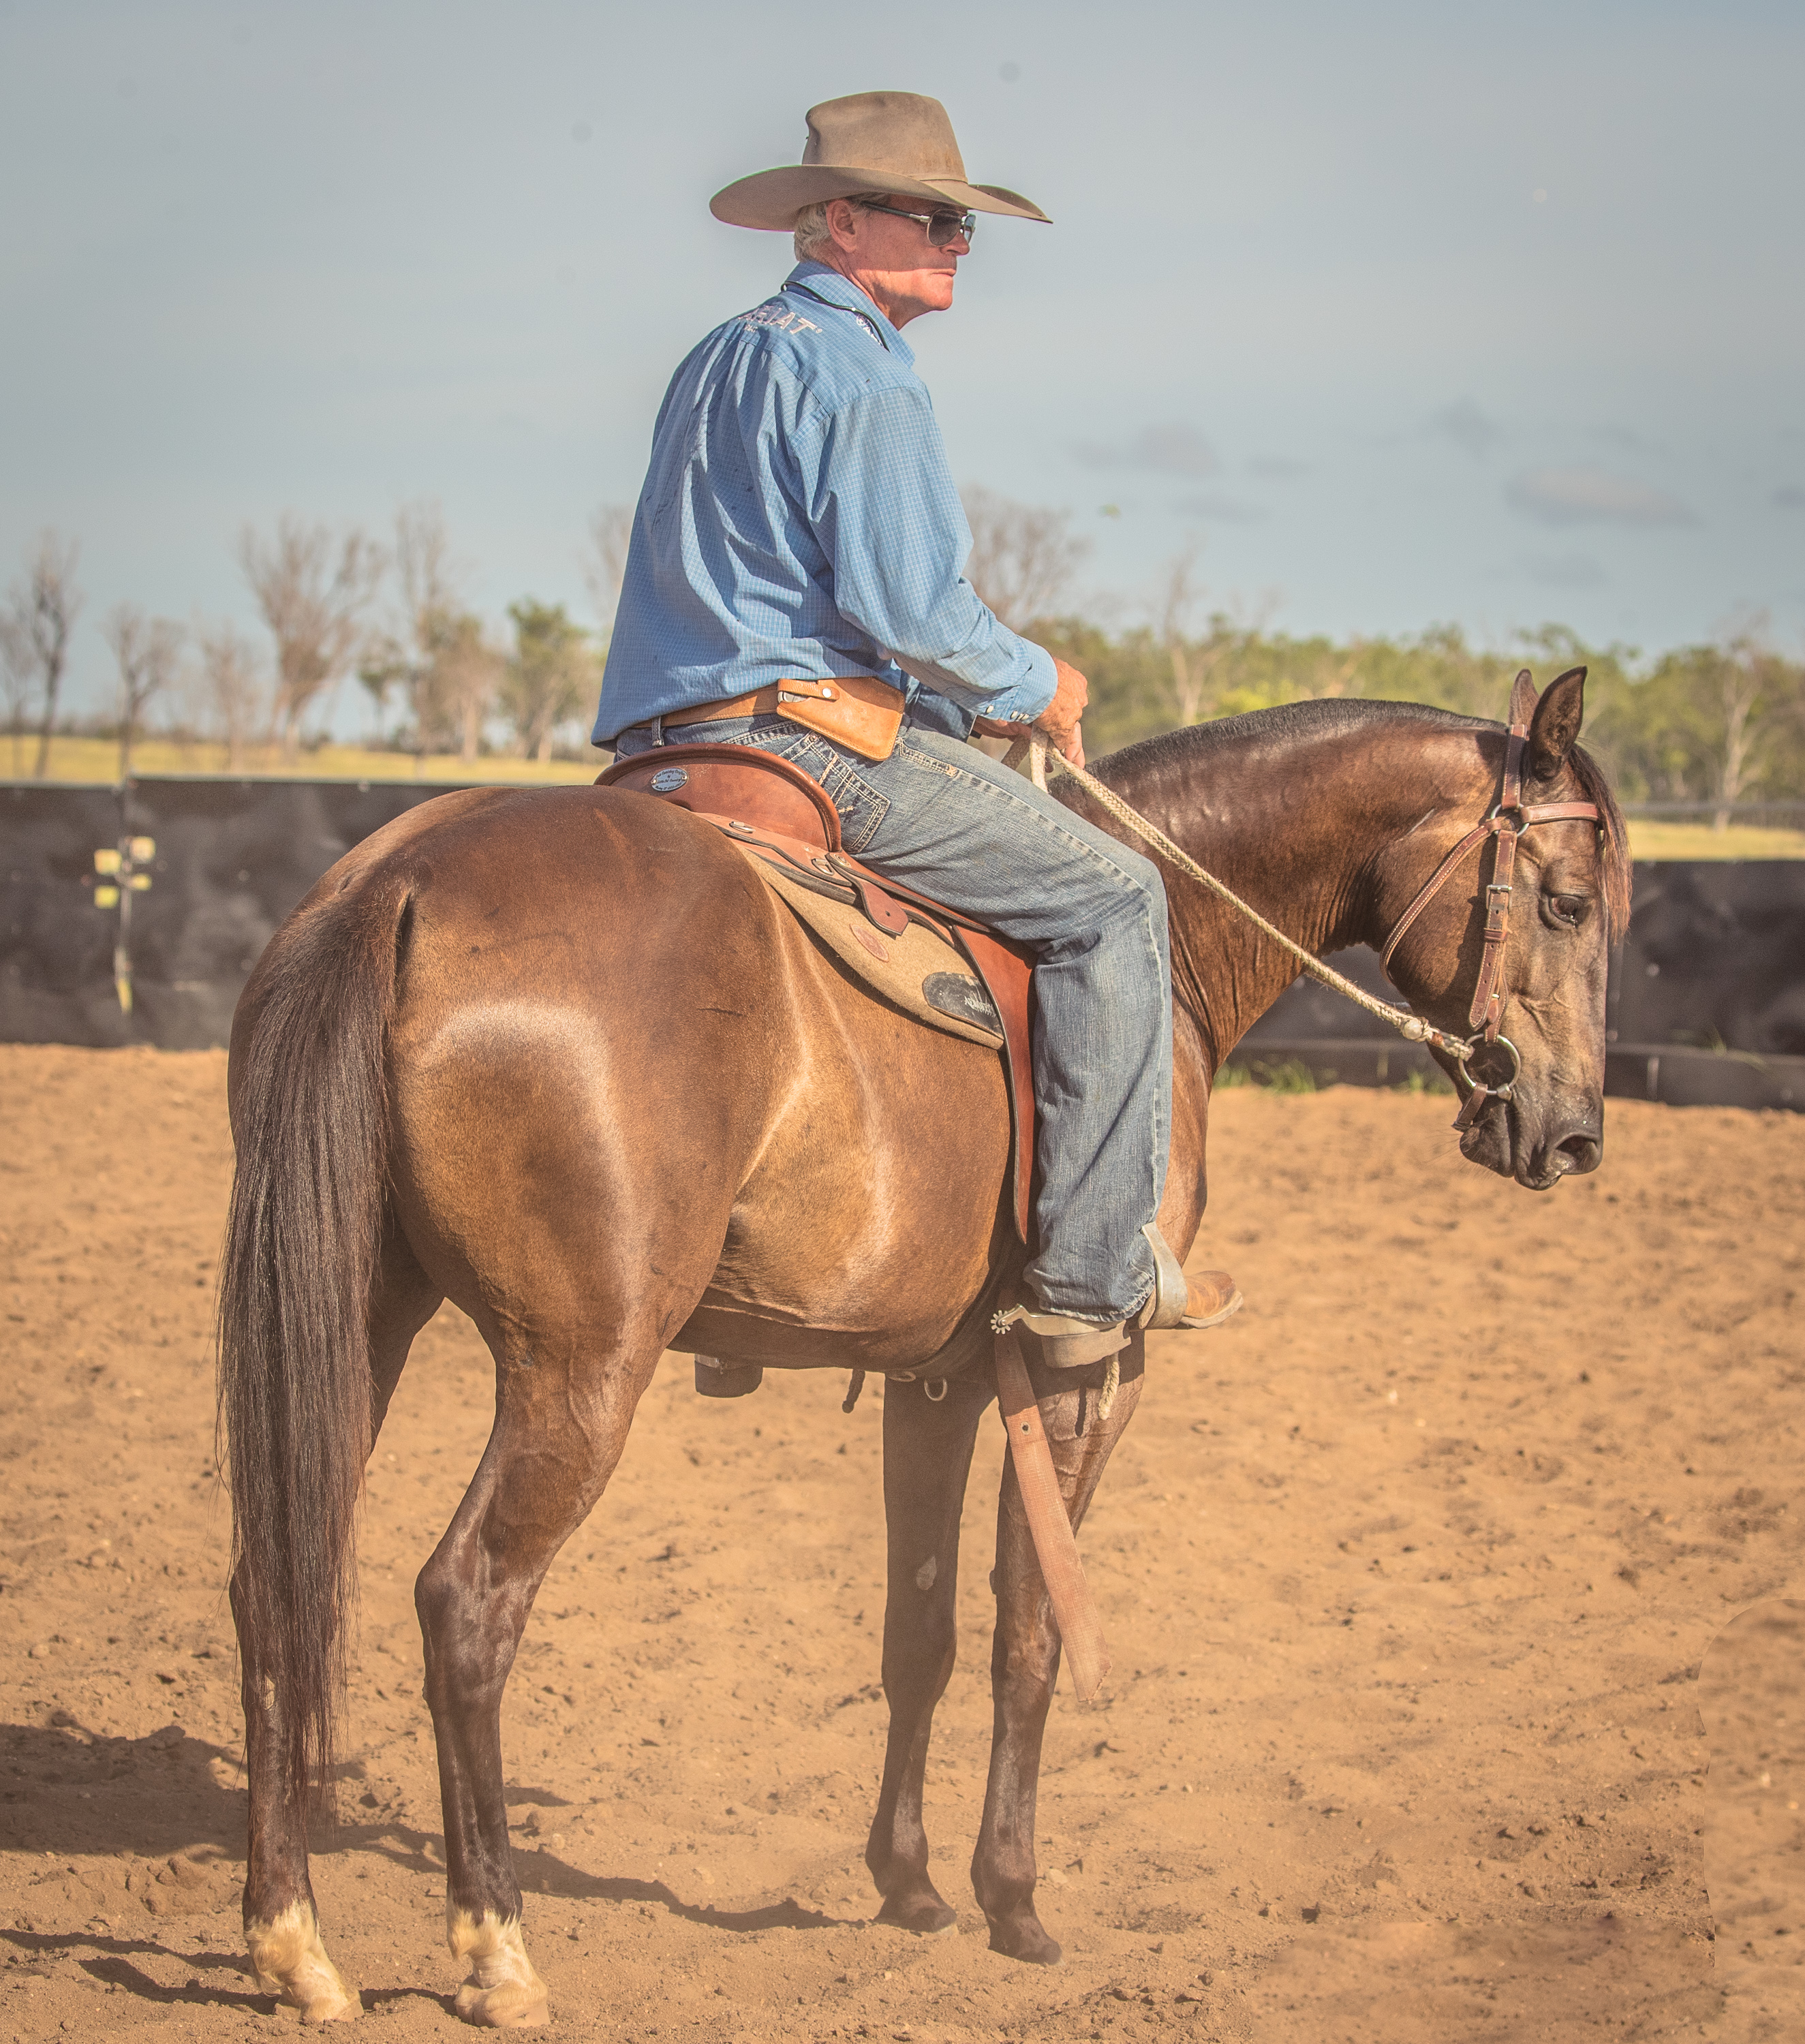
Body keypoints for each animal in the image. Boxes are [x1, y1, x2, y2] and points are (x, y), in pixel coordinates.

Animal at [217, 669, 1629, 2025]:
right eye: (1564, 903)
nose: (1569, 1134)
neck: (1171, 935)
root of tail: (401, 883)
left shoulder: (936, 1377)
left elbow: (921, 1632)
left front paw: (905, 1884)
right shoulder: (1083, 1373)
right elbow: (1028, 1637)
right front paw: (1013, 1899)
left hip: (359, 1319)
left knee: (274, 1581)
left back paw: (296, 1947)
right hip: (578, 1371)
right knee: (465, 1603)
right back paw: (497, 1951)